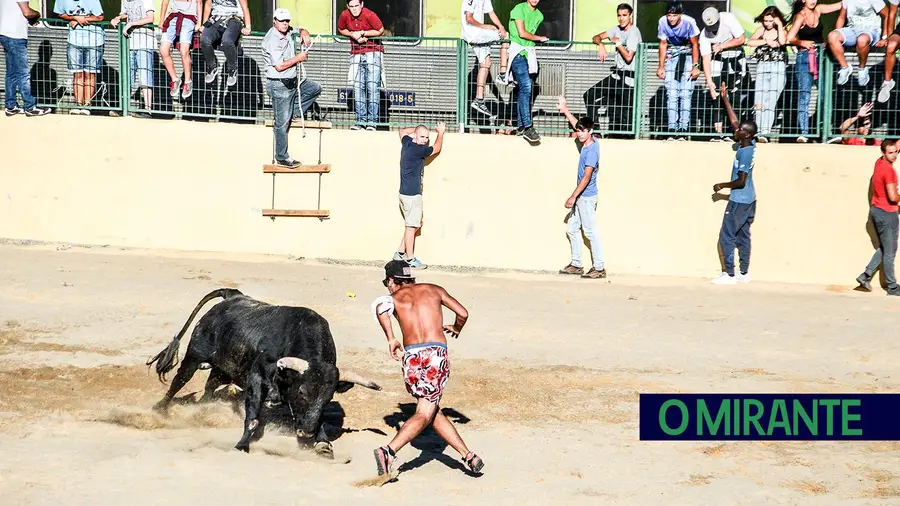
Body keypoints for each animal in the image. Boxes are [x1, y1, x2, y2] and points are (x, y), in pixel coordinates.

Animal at [143, 288, 380, 458]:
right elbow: (253, 417)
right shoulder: (256, 380)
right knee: (179, 380)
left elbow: (320, 419)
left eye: (328, 398)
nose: (306, 433)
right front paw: (242, 444)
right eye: (301, 393)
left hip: (224, 369)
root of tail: (233, 295)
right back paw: (159, 409)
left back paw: (204, 411)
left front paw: (323, 444)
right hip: (194, 355)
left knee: (209, 387)